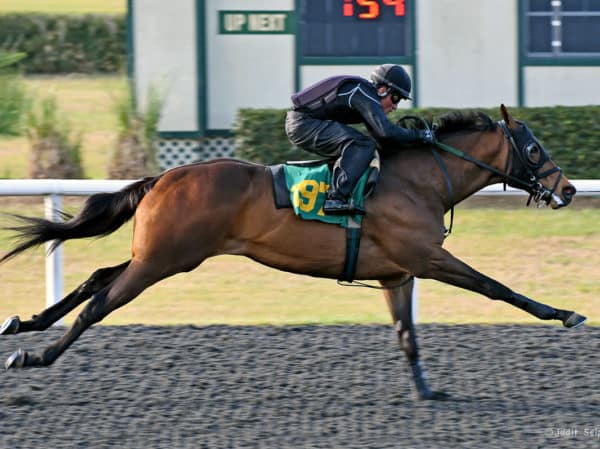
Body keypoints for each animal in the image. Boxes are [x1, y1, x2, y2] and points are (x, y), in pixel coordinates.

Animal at [0, 105, 584, 400]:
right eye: (534, 149)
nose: (570, 189)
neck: (418, 182)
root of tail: (162, 177)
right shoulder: (426, 259)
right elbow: (496, 287)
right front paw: (564, 313)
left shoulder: (397, 273)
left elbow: (406, 333)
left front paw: (427, 392)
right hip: (161, 261)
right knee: (98, 305)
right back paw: (36, 355)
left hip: (160, 256)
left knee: (97, 276)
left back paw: (24, 324)